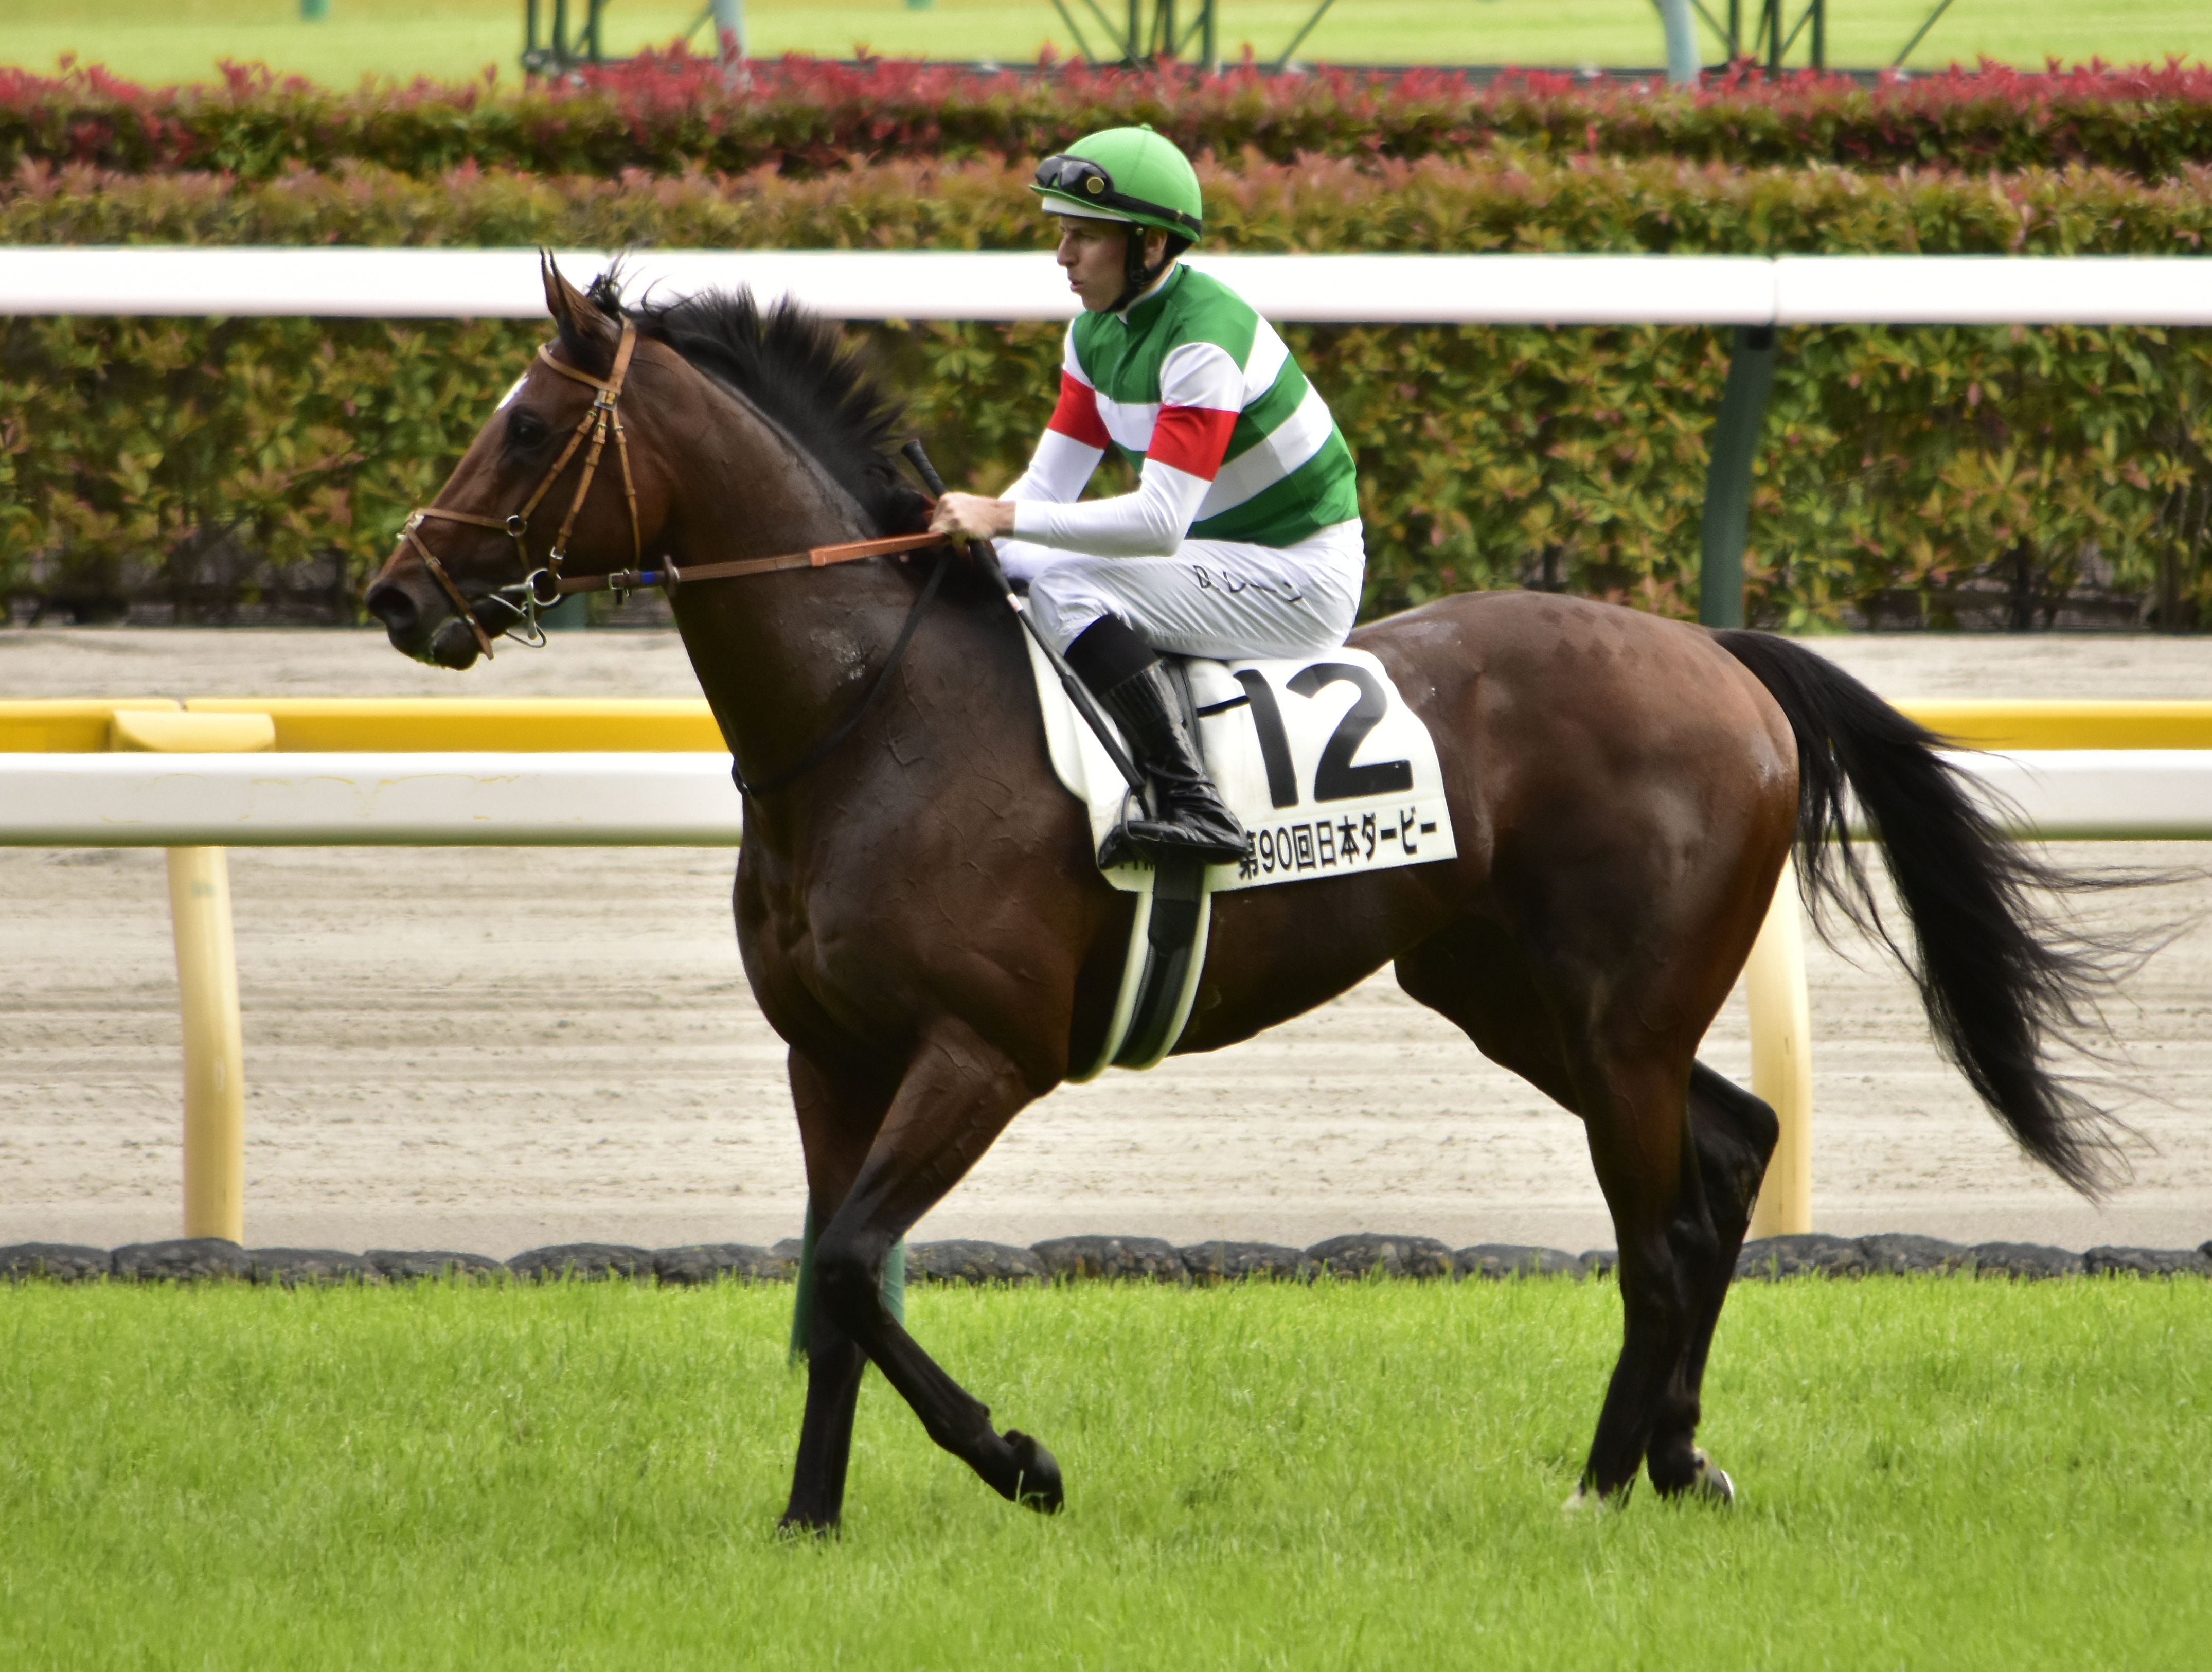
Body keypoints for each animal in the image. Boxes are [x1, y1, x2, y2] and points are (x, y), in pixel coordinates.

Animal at [367, 261, 2124, 1530]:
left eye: (530, 429)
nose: (397, 594)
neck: (868, 711)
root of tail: (1721, 658)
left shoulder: (979, 1052)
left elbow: (859, 1266)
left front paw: (1020, 1461)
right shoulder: (830, 1056)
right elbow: (828, 1280)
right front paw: (809, 1520)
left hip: (1614, 1015)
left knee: (1657, 1229)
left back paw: (1604, 1483)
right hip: (1508, 994)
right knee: (1731, 1149)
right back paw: (1677, 1460)